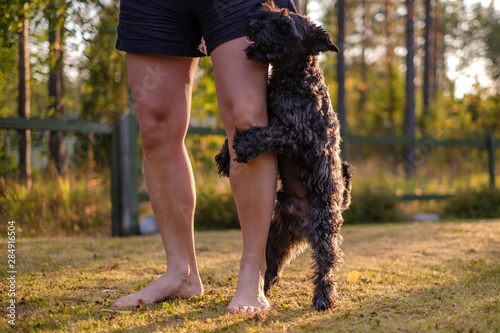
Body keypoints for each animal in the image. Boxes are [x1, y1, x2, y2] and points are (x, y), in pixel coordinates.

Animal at [215, 1, 352, 310]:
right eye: (266, 14)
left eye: (283, 27)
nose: (251, 25)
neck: (290, 79)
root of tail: (303, 225)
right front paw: (224, 156)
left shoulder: (298, 134)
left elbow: (268, 133)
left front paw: (244, 144)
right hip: (276, 236)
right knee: (272, 264)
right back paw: (264, 288)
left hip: (324, 231)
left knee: (327, 266)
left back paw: (324, 298)